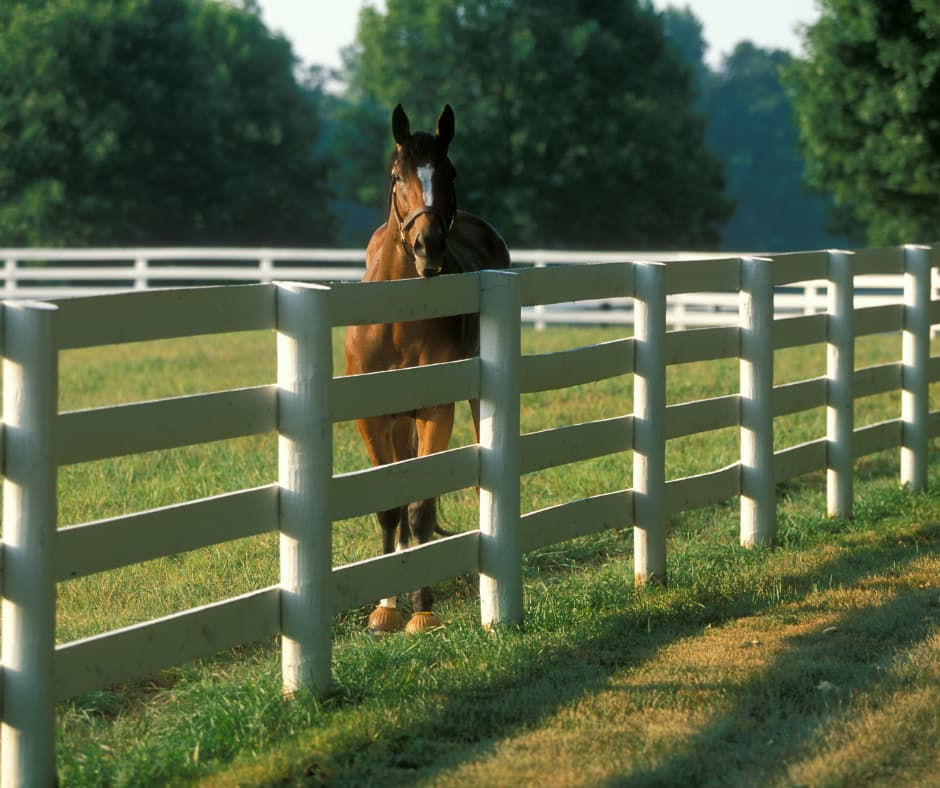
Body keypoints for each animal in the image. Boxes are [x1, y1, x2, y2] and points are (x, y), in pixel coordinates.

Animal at [344, 104, 510, 634]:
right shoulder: (373, 418)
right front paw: (385, 608)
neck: (399, 319)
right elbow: (391, 507)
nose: (428, 246)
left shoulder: (436, 410)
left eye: (449, 173)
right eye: (398, 176)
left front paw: (422, 609)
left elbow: (419, 508)